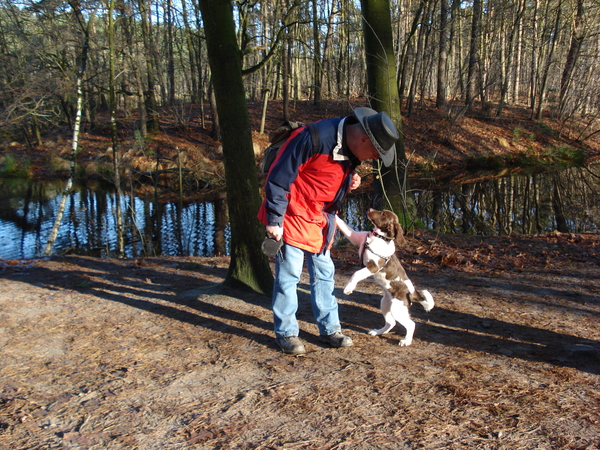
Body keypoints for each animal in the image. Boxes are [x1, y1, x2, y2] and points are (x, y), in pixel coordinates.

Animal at [336, 209, 434, 346]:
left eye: (383, 214)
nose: (369, 209)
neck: (378, 237)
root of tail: (413, 293)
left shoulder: (373, 267)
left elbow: (357, 274)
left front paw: (348, 289)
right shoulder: (357, 237)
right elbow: (344, 226)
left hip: (397, 308)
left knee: (411, 324)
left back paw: (406, 341)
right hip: (385, 303)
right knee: (391, 322)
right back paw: (378, 332)